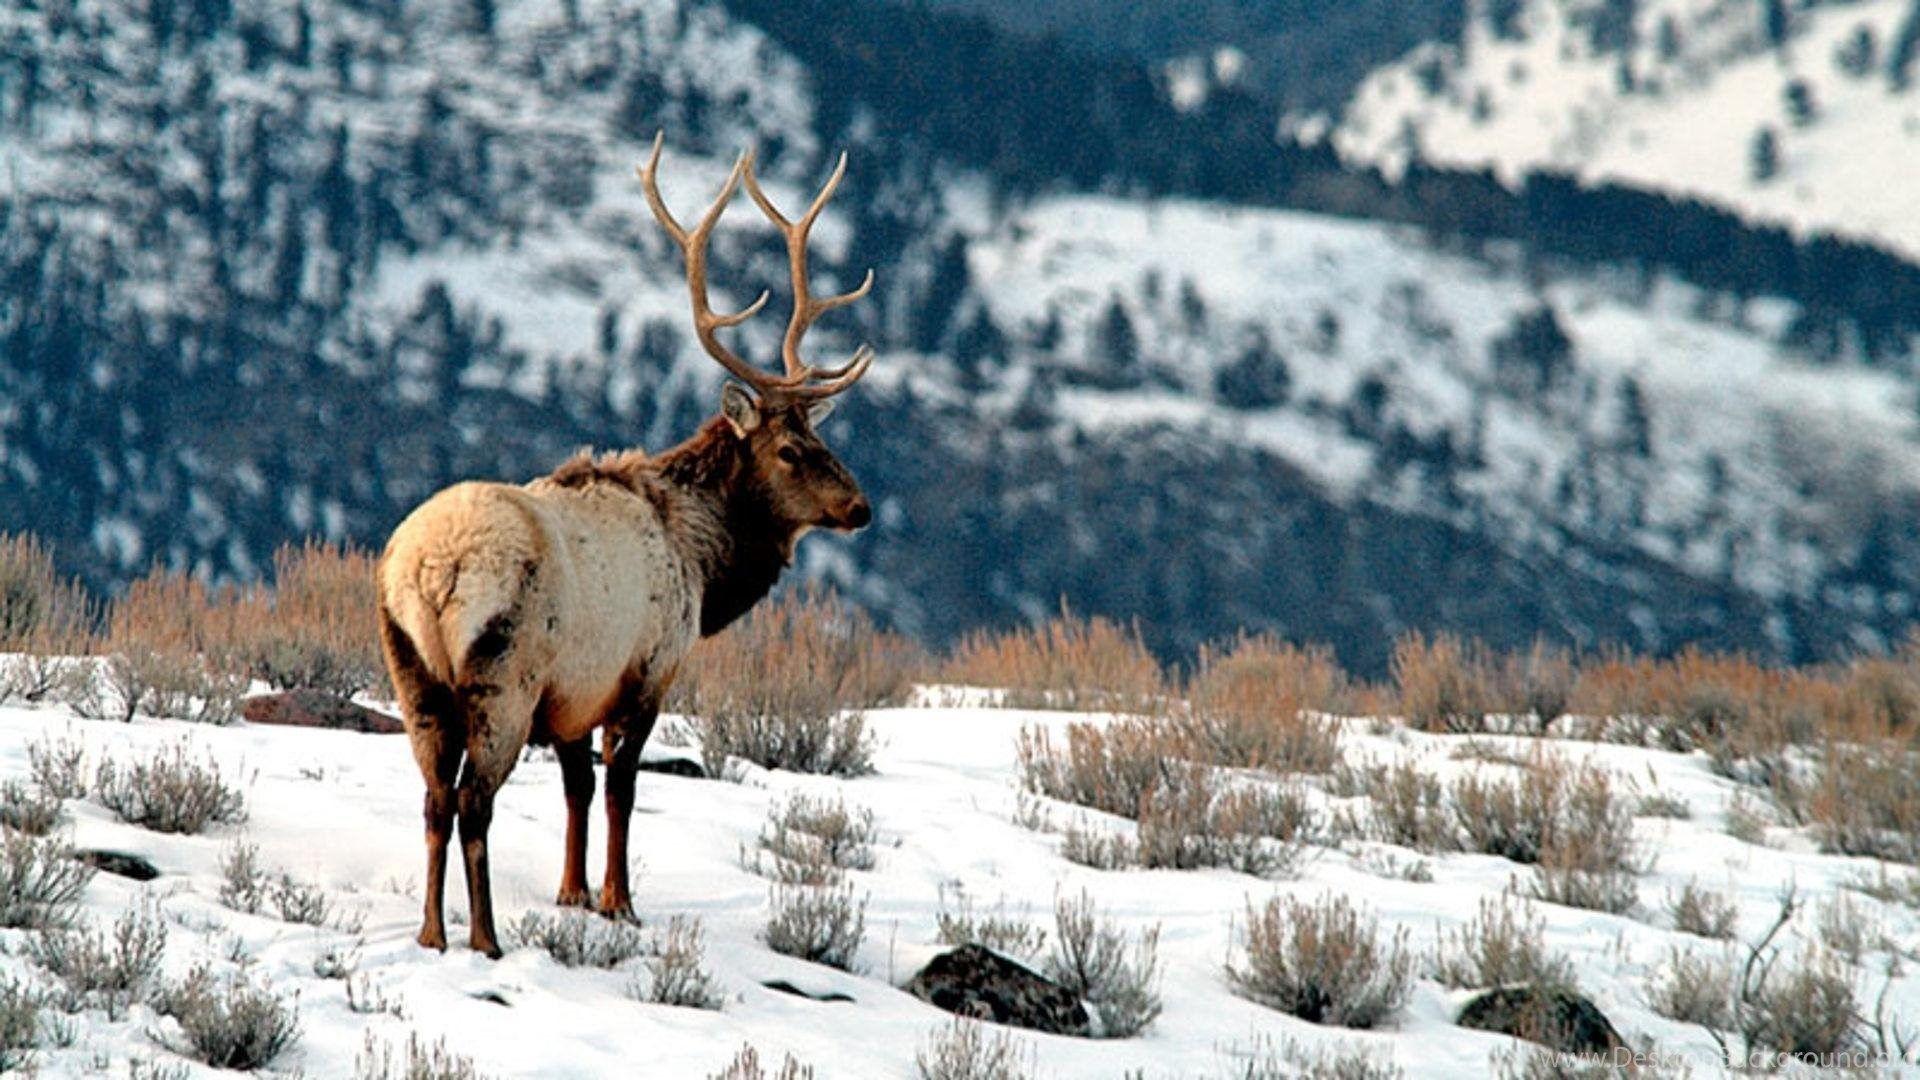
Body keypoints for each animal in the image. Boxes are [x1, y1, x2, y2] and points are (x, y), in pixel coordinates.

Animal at [375, 134, 878, 958]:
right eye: (791, 450)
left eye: (822, 438)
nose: (860, 507)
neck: (702, 561)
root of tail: (432, 571)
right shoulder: (646, 670)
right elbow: (620, 788)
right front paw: (619, 902)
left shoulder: (574, 692)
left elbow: (577, 788)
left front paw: (572, 892)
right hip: (503, 674)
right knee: (473, 799)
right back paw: (485, 938)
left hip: (413, 673)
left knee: (431, 798)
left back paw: (431, 934)